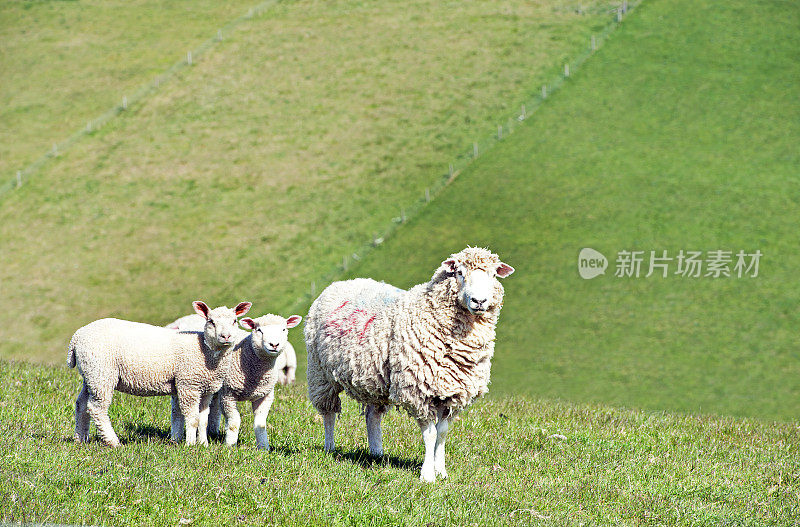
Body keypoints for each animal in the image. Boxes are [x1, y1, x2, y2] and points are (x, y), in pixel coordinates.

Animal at [68, 302, 252, 446]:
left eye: (234, 321)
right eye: (211, 321)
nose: (226, 336)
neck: (205, 351)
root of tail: (77, 336)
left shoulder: (204, 388)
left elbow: (199, 418)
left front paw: (201, 443)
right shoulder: (189, 385)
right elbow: (192, 418)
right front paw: (191, 445)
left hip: (91, 375)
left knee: (81, 404)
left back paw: (80, 438)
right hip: (102, 374)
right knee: (97, 408)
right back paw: (113, 441)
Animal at [304, 248, 516, 482]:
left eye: (493, 274)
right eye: (459, 272)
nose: (480, 301)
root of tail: (340, 283)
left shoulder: (451, 393)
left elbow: (442, 433)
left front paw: (441, 471)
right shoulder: (418, 392)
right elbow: (431, 434)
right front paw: (428, 475)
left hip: (373, 378)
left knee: (372, 415)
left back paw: (377, 453)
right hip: (320, 373)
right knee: (329, 413)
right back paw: (329, 447)